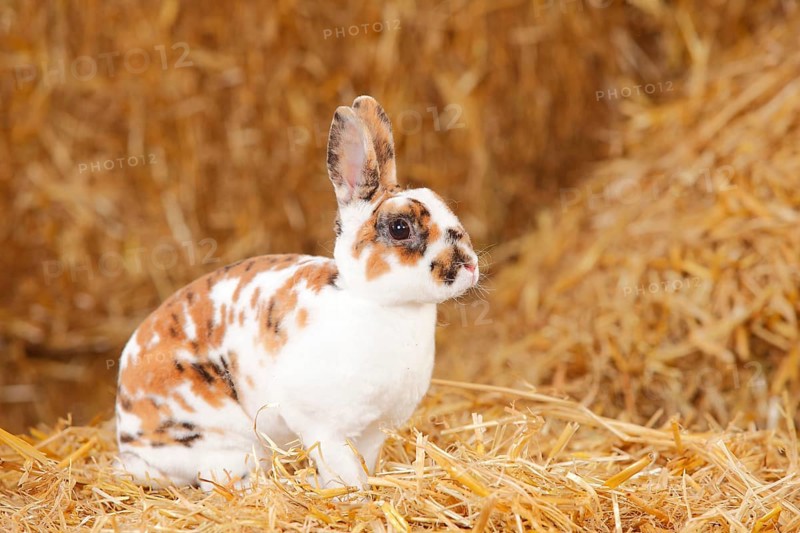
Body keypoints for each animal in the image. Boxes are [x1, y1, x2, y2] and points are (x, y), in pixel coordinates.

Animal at [115, 96, 480, 492]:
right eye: (400, 228)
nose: (469, 265)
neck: (374, 302)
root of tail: (130, 442)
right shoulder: (324, 428)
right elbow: (342, 470)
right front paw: (347, 496)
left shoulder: (371, 432)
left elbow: (364, 463)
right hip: (224, 440)